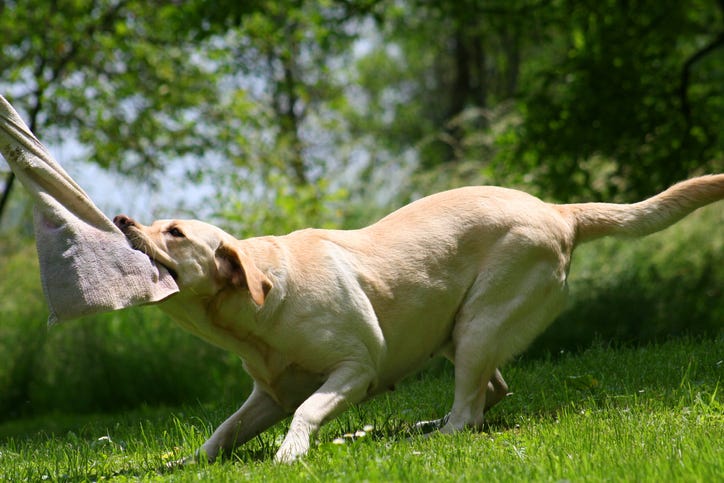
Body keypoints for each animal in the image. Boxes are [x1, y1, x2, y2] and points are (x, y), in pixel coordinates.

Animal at [114, 175, 724, 466]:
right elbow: (223, 431)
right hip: (455, 331)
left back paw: (413, 440)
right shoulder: (268, 394)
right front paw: (188, 461)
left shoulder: (354, 369)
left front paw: (292, 453)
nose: (120, 219)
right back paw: (405, 429)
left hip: (478, 325)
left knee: (468, 416)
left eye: (174, 231)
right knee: (489, 394)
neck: (258, 302)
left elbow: (309, 410)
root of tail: (558, 211)